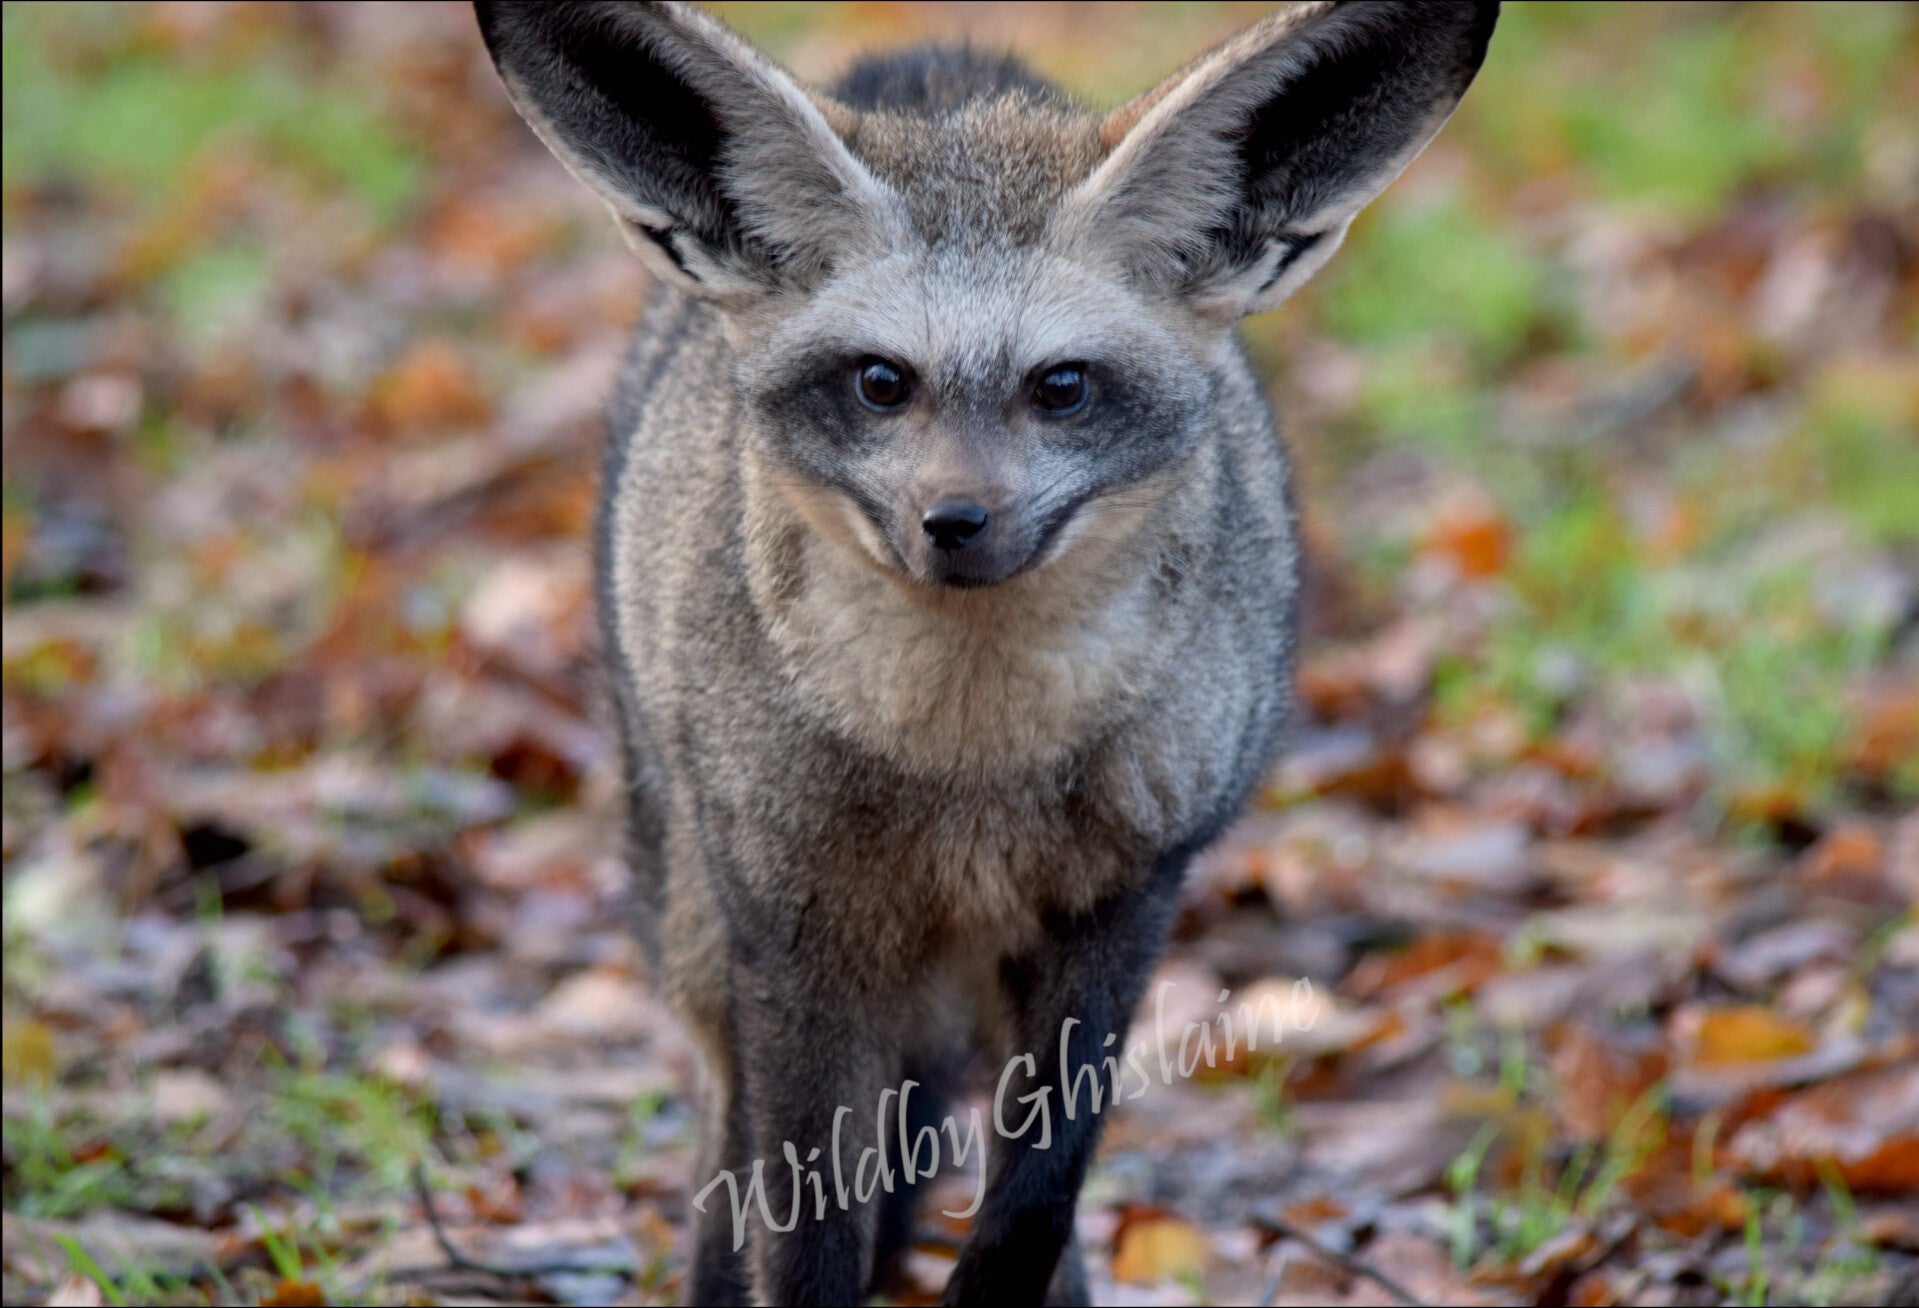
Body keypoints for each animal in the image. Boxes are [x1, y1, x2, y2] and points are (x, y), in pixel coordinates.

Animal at [474, 2, 1496, 1303]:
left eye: (1059, 387)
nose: (951, 524)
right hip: (702, 942)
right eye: (879, 383)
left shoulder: (1119, 908)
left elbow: (1032, 1201)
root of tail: (931, 58)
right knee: (722, 1170)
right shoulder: (796, 933)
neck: (970, 764)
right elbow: (802, 1232)